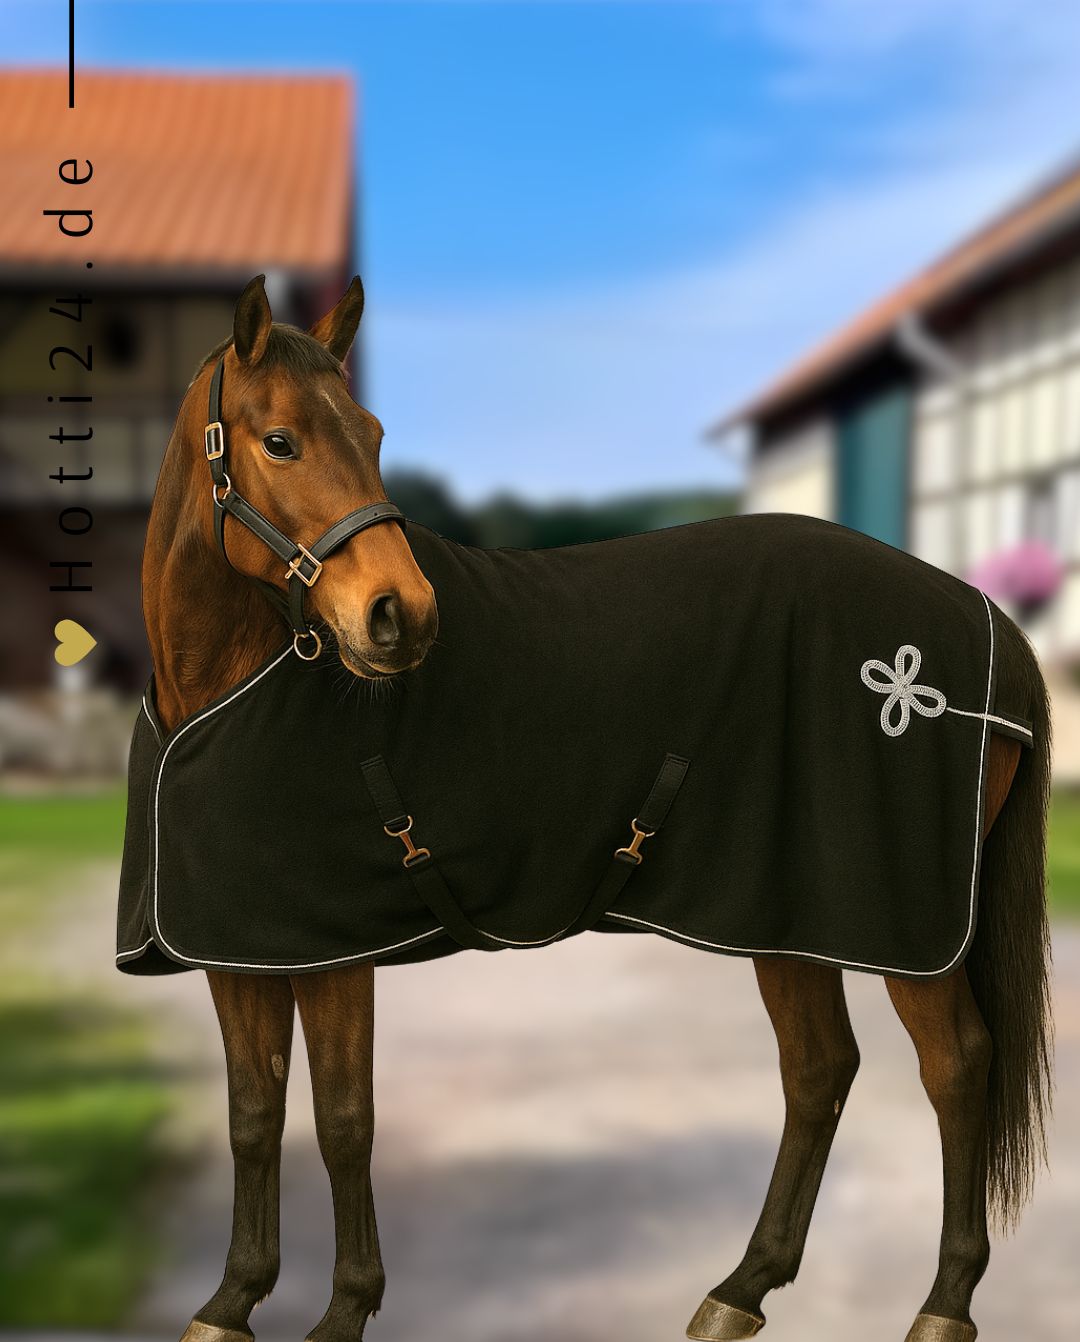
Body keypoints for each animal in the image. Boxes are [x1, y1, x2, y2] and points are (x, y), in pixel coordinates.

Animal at [131, 274, 1053, 1342]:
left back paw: (941, 1305)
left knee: (957, 1067)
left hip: (899, 927)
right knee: (819, 1069)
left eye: (371, 432)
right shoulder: (239, 950)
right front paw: (230, 1301)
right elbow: (254, 1114)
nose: (403, 616)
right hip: (785, 912)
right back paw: (742, 1288)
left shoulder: (331, 955)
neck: (238, 686)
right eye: (279, 441)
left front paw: (344, 1311)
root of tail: (980, 615)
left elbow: (343, 1119)